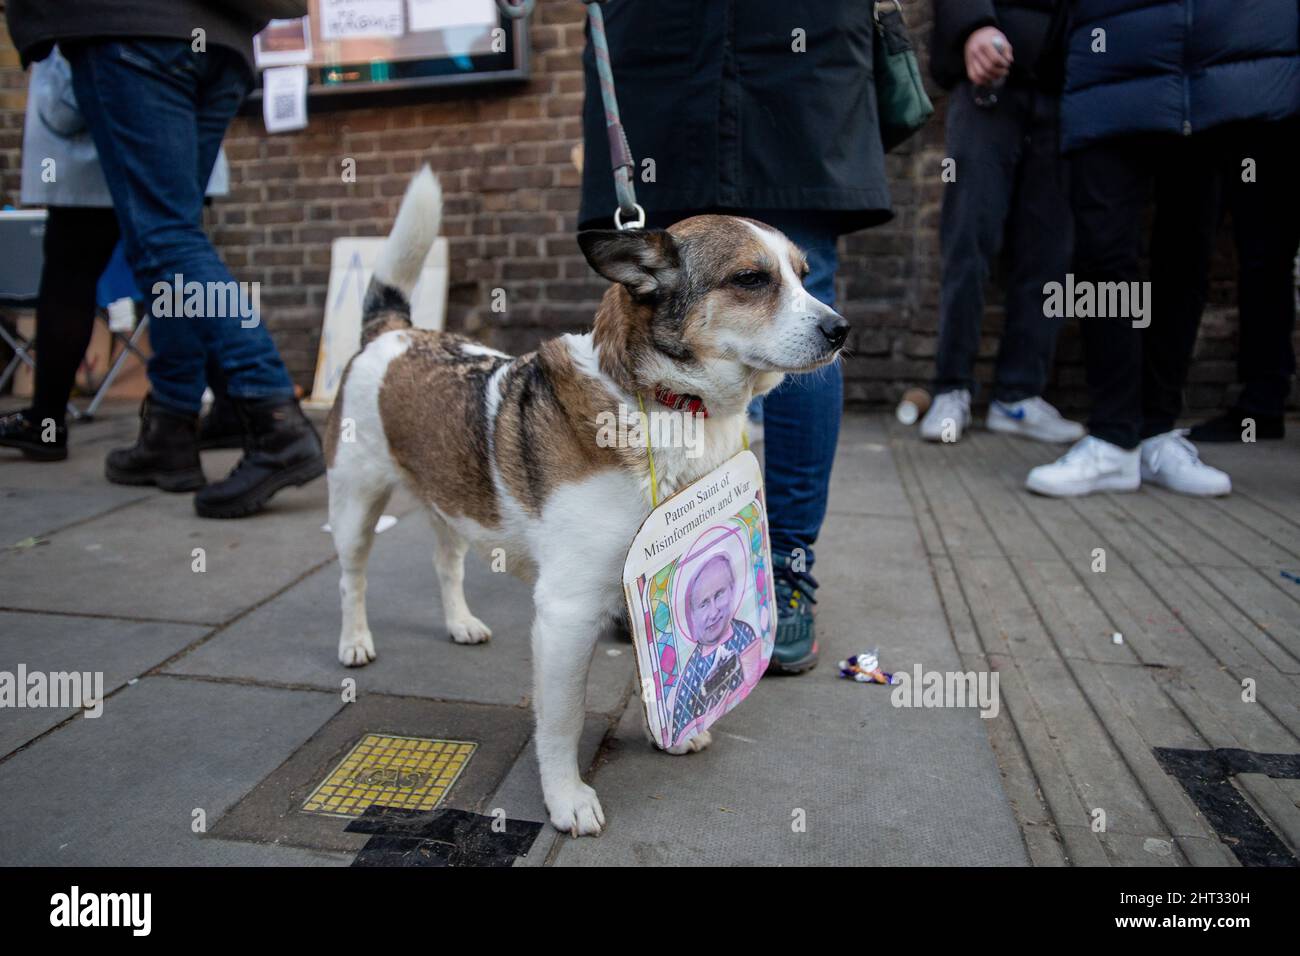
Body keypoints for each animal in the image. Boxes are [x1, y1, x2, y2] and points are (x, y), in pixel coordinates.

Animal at [327, 167, 842, 832]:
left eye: (804, 276)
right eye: (751, 279)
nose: (841, 329)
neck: (669, 404)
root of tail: (393, 333)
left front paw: (672, 730)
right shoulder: (566, 613)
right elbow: (563, 719)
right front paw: (566, 798)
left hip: (453, 497)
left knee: (446, 562)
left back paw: (460, 622)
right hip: (355, 505)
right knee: (352, 578)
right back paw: (355, 641)